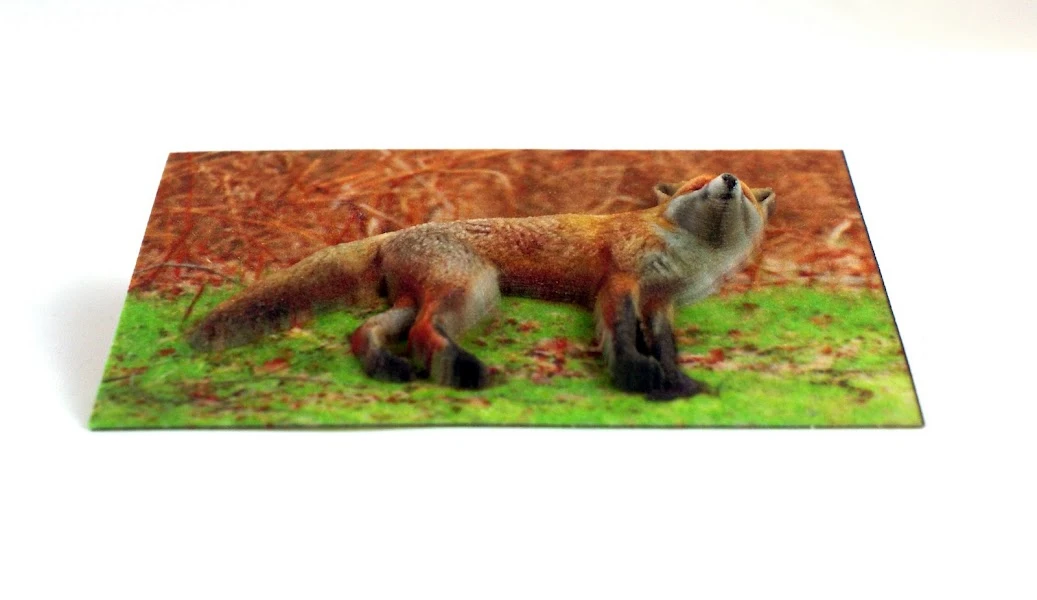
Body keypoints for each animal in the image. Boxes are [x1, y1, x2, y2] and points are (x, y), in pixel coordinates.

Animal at [187, 172, 775, 400]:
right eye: (699, 183)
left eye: (743, 188)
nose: (728, 180)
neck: (690, 256)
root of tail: (399, 231)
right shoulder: (620, 285)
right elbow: (625, 340)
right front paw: (637, 379)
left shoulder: (661, 302)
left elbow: (669, 350)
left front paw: (679, 385)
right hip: (473, 290)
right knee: (423, 334)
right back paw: (464, 372)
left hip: (420, 298)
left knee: (365, 332)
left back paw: (389, 369)